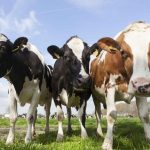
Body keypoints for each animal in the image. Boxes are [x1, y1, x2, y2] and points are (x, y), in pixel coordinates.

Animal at [88, 21, 150, 150]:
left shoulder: (139, 90)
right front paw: (107, 143)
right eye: (123, 52)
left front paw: (148, 138)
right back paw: (100, 133)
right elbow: (111, 115)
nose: (142, 84)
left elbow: (144, 115)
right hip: (95, 96)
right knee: (98, 114)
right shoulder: (110, 86)